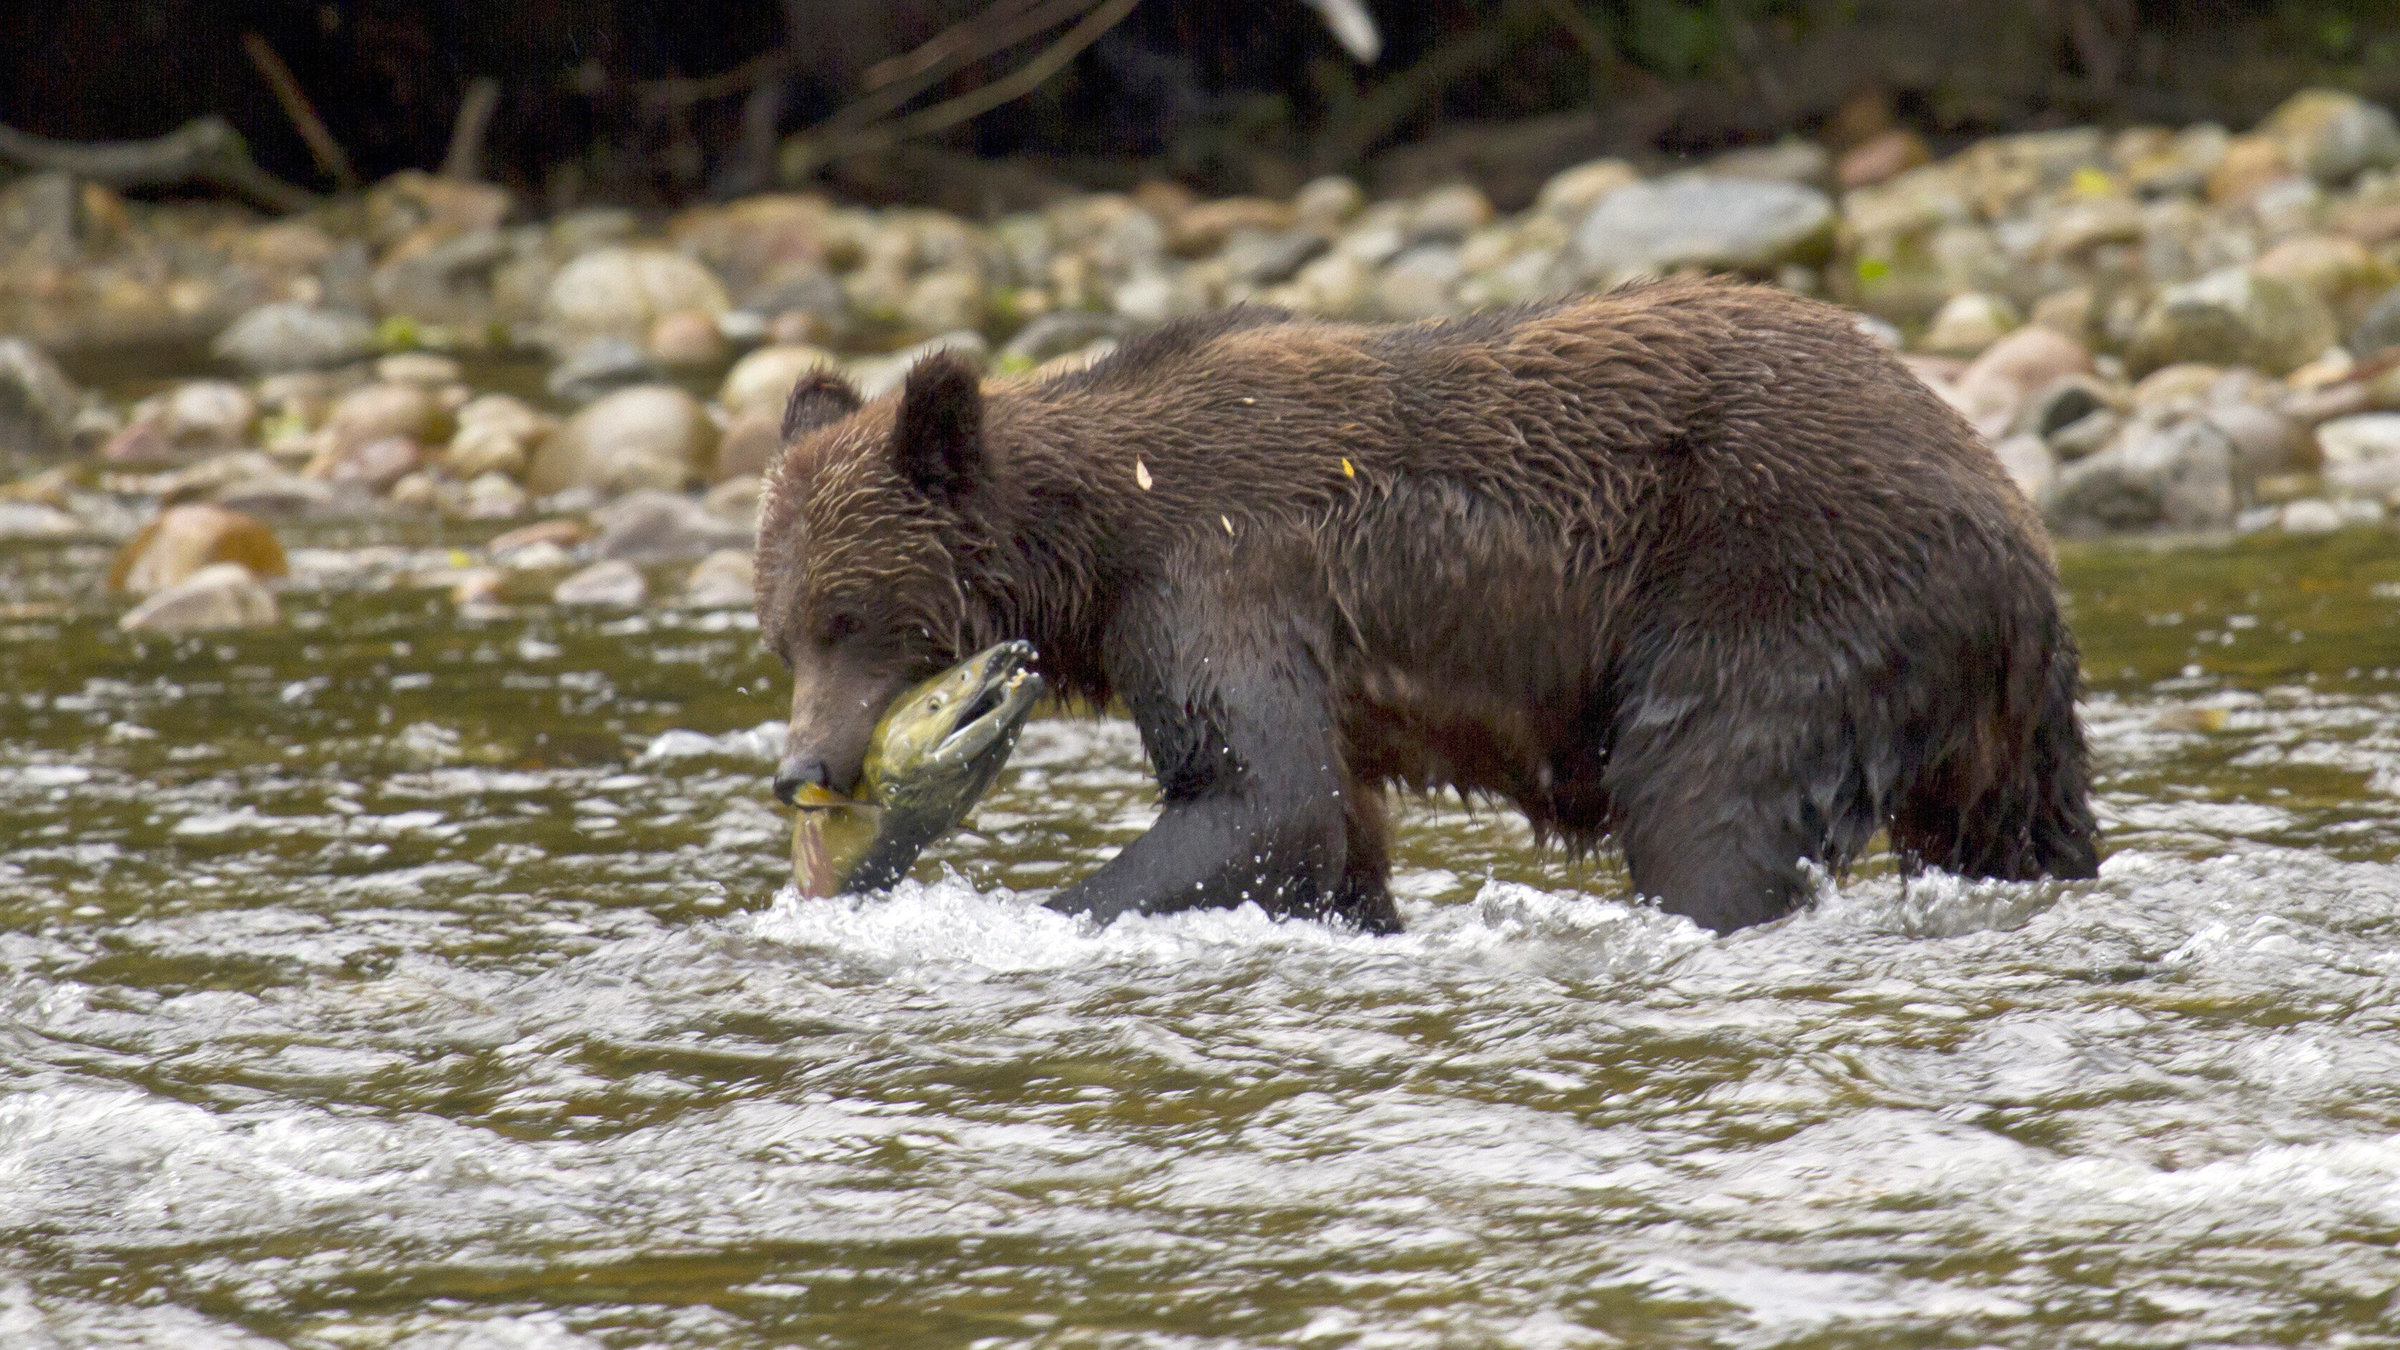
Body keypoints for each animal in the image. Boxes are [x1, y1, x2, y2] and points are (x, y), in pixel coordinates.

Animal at [754, 278, 2101, 934]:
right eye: (782, 629)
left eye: (852, 616)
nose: (801, 766)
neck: (1095, 542)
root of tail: (2012, 510)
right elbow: (1328, 842)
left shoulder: (1222, 573)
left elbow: (1262, 797)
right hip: (1987, 710)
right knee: (2019, 823)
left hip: (1790, 576)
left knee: (1710, 800)